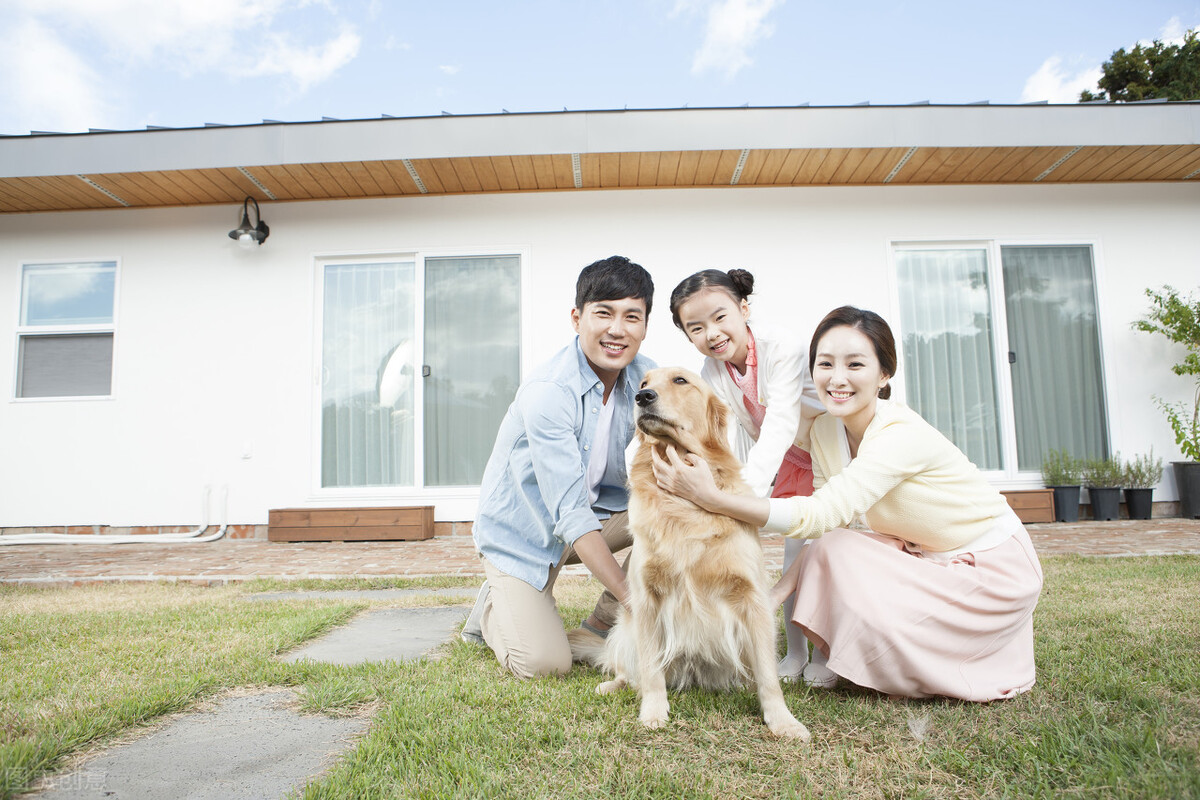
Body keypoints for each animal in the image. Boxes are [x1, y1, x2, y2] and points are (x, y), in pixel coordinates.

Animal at [566, 367, 811, 743]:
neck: (683, 506)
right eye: (642, 383)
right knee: (628, 670)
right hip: (625, 628)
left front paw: (782, 720)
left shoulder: (752, 597)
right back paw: (612, 685)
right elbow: (651, 670)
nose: (643, 397)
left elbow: (768, 676)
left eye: (680, 381)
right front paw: (653, 713)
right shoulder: (646, 597)